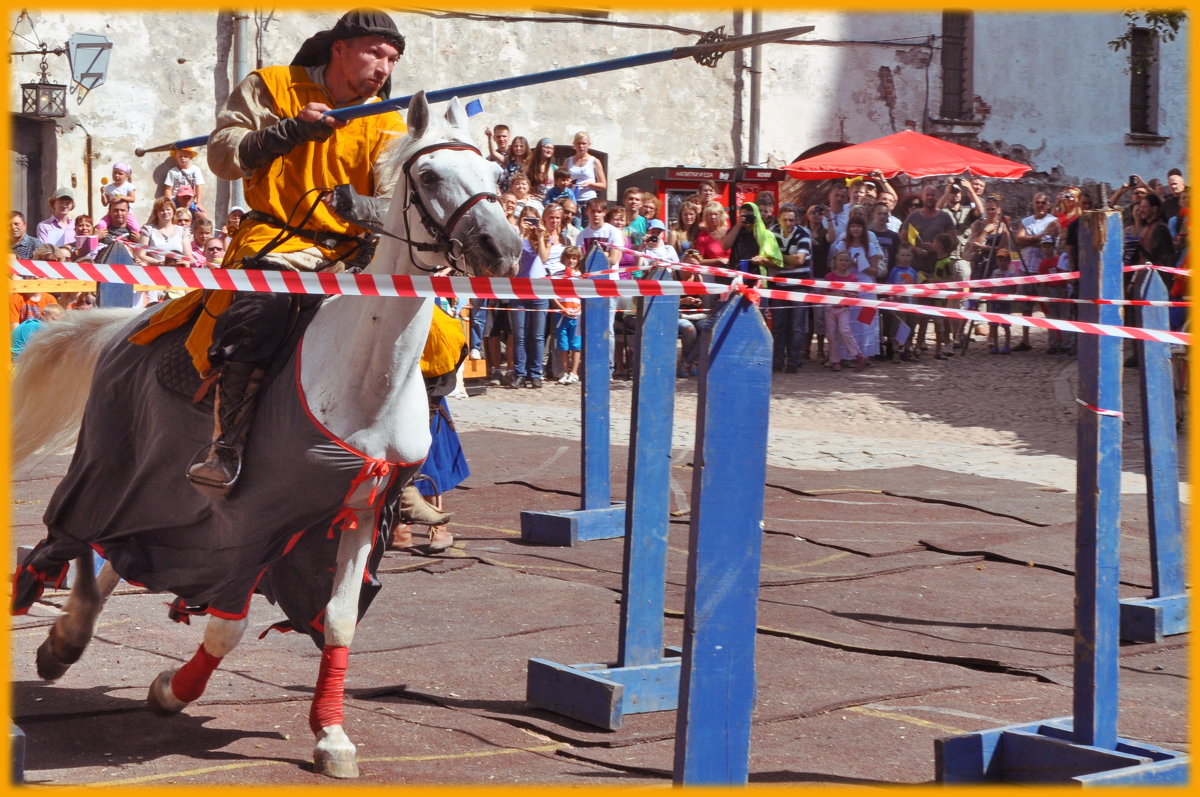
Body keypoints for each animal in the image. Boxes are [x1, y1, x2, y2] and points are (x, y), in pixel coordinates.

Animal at [10, 90, 520, 772]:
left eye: (495, 174)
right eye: (431, 175)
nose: (501, 247)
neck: (365, 374)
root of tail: (128, 324)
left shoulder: (357, 513)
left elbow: (339, 621)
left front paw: (331, 735)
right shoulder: (247, 520)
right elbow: (227, 623)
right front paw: (172, 690)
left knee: (119, 545)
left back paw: (69, 633)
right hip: (119, 462)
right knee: (93, 531)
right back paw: (64, 637)